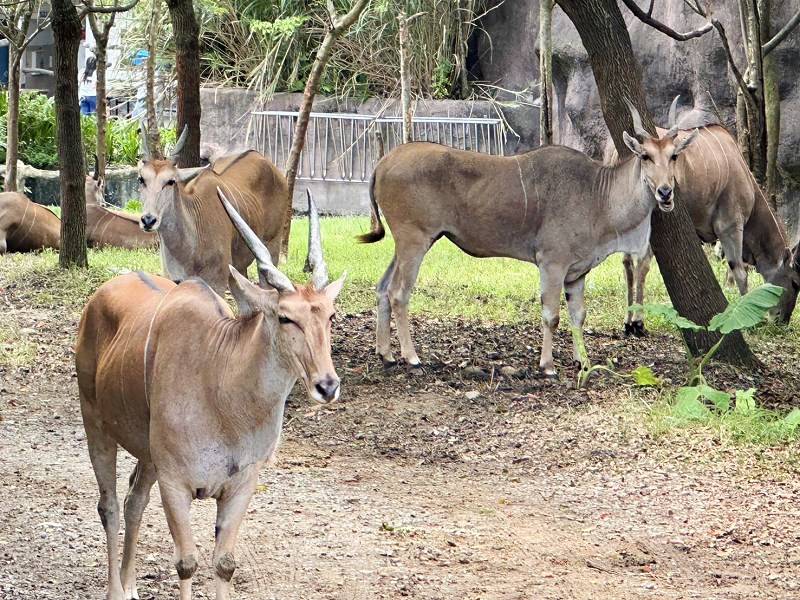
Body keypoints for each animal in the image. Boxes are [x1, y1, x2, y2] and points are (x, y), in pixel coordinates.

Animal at [76, 190, 346, 596]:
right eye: (285, 317)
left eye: (329, 316)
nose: (327, 385)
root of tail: (98, 298)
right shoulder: (175, 483)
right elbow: (187, 564)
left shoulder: (240, 484)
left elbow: (224, 564)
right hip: (96, 426)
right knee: (109, 506)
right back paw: (116, 590)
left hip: (147, 454)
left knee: (134, 499)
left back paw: (132, 585)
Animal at [139, 127, 290, 294]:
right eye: (141, 179)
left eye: (171, 181)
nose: (148, 220)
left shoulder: (217, 282)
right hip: (239, 268)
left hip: (271, 248)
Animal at [360, 101, 696, 378]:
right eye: (646, 156)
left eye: (674, 155)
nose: (665, 192)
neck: (597, 194)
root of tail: (383, 162)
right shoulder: (552, 263)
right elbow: (552, 315)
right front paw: (548, 366)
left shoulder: (577, 273)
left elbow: (578, 315)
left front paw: (584, 362)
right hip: (414, 241)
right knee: (399, 293)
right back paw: (412, 358)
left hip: (406, 244)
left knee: (382, 288)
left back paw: (386, 355)